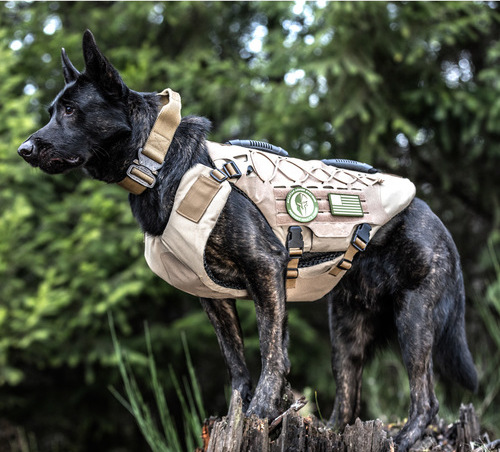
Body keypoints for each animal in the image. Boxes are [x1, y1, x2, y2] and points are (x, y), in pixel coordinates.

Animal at [18, 30, 476, 450]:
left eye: (71, 110)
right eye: (53, 111)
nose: (23, 149)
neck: (161, 161)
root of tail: (435, 219)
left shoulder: (266, 270)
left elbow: (272, 355)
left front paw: (261, 411)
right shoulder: (214, 298)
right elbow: (236, 363)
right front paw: (239, 414)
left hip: (413, 317)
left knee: (427, 398)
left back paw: (408, 436)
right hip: (347, 332)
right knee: (348, 400)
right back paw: (330, 431)